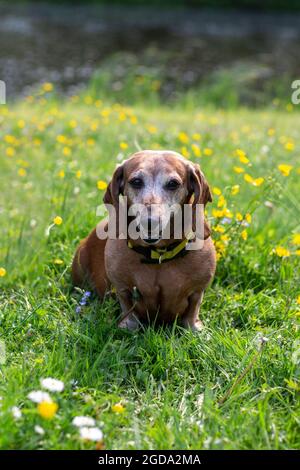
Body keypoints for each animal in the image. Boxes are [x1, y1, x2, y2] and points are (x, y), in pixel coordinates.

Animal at [72, 151, 216, 330]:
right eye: (136, 182)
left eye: (173, 184)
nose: (150, 222)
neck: (158, 256)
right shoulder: (123, 289)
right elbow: (127, 307)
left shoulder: (197, 291)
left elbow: (193, 309)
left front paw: (194, 327)